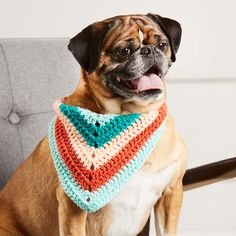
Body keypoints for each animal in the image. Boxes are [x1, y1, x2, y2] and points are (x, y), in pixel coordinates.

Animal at [0, 13, 188, 235]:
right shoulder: (73, 208)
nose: (150, 50)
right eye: (123, 51)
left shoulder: (172, 193)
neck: (132, 114)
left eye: (162, 44)